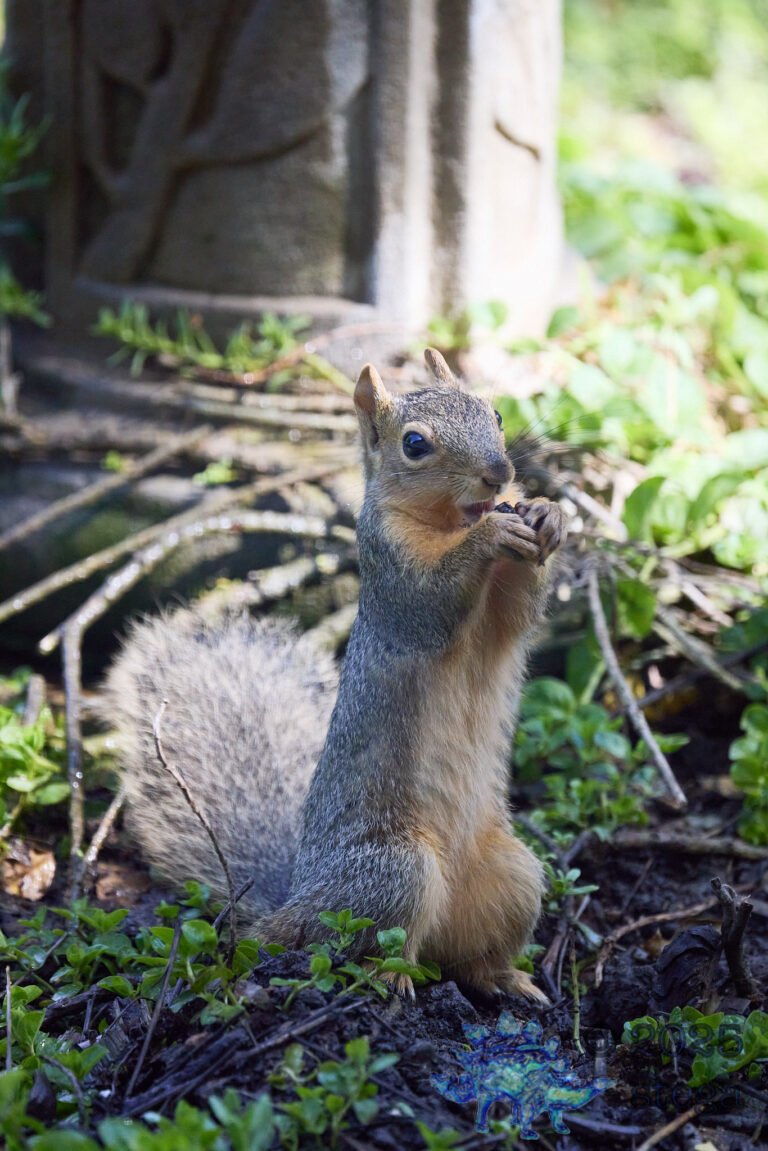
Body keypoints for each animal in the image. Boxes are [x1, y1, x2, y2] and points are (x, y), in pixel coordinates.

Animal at [101, 348, 568, 1000]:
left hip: (513, 873)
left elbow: (520, 613)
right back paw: (388, 979)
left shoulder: (502, 612)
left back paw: (508, 980)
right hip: (393, 870)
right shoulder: (389, 570)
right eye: (414, 444)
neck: (452, 520)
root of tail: (297, 901)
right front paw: (492, 534)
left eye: (495, 413)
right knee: (375, 948)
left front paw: (548, 514)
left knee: (464, 959)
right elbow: (430, 605)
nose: (499, 474)